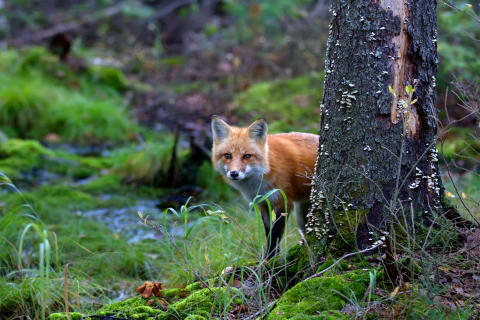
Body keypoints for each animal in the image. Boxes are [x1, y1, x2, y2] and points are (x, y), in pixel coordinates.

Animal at [211, 117, 318, 258]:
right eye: (228, 155)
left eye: (247, 156)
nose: (234, 173)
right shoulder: (263, 202)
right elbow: (268, 233)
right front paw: (269, 257)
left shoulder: (282, 201)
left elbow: (275, 234)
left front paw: (271, 259)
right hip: (302, 214)